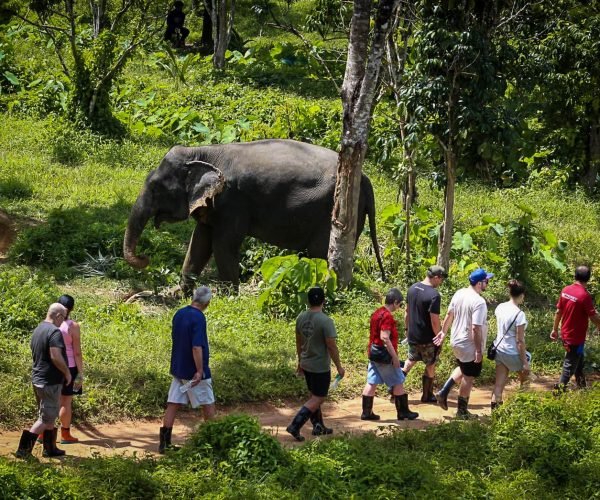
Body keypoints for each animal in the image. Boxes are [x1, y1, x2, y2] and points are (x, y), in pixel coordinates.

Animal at [124, 139, 386, 292]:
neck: (203, 152)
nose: (145, 257)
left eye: (156, 189)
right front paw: (181, 295)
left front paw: (228, 298)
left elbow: (223, 245)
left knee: (318, 254)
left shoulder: (232, 201)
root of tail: (365, 179)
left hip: (334, 213)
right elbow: (199, 243)